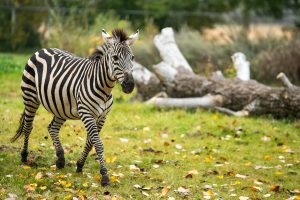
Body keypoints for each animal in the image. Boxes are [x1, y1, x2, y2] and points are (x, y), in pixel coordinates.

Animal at [10, 28, 139, 187]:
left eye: (132, 57)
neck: (105, 89)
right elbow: (98, 144)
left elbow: (90, 143)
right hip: (30, 97)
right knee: (28, 127)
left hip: (60, 107)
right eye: (115, 57)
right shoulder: (86, 113)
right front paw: (104, 176)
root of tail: (43, 49)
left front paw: (79, 165)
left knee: (52, 128)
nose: (129, 86)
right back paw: (24, 157)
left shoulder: (102, 117)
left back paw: (60, 160)